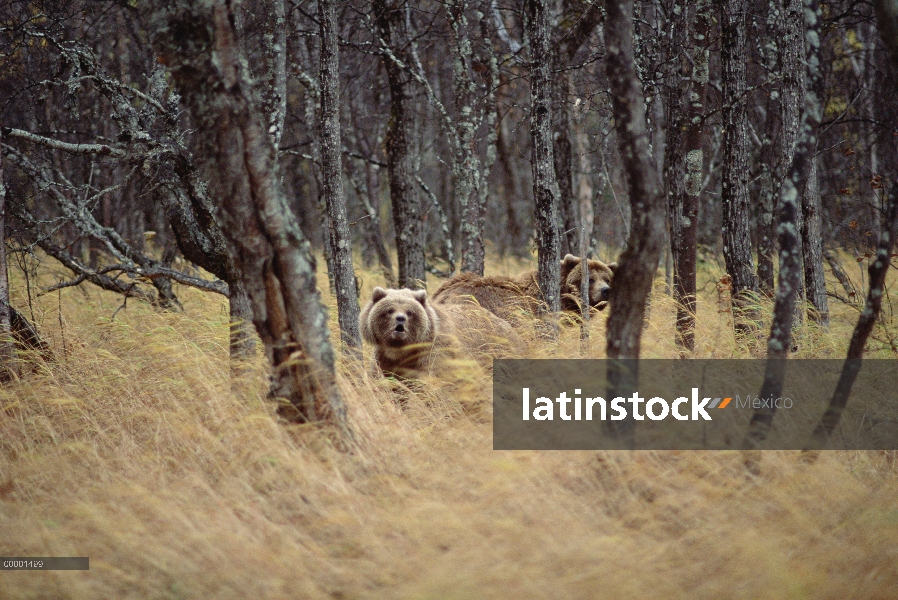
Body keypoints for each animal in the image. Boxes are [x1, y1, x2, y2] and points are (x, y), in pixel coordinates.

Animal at [360, 284, 520, 378]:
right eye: (390, 310)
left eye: (410, 312)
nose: (400, 319)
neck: (402, 350)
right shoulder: (384, 359)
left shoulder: (435, 352)